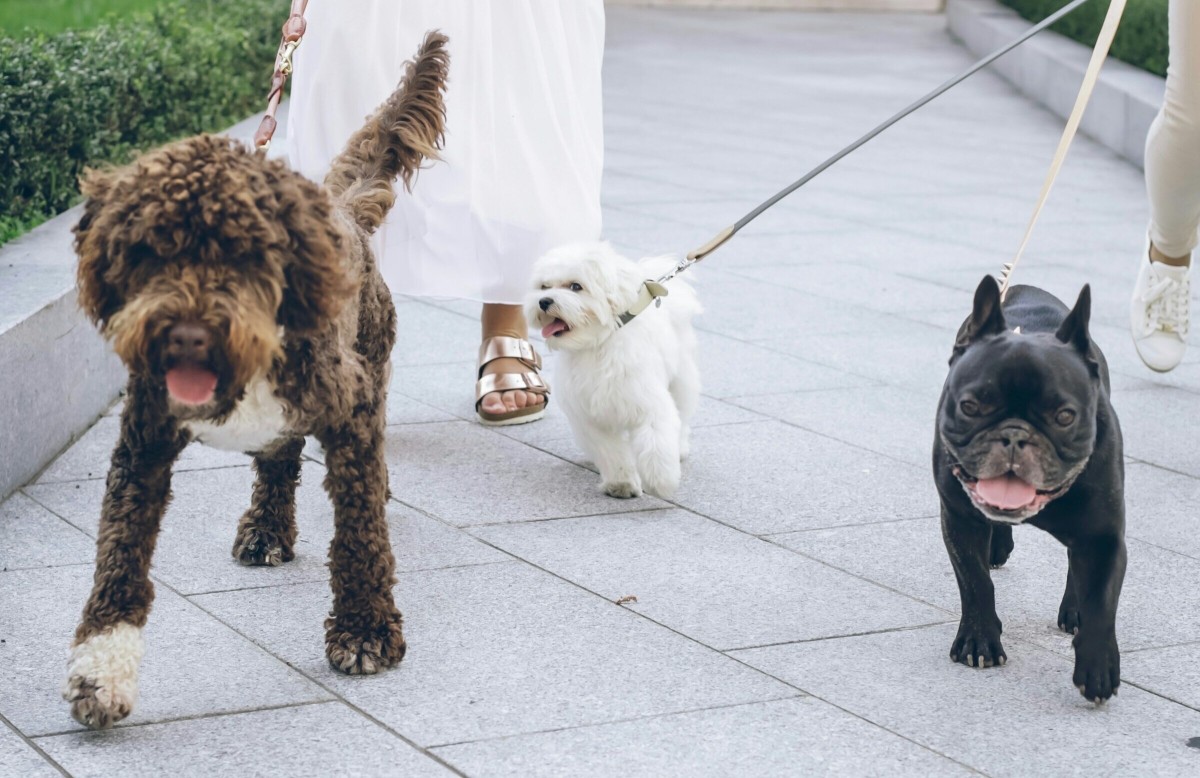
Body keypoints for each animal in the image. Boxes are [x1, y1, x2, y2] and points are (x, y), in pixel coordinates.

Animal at [59, 31, 451, 729]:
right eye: (148, 251)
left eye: (243, 253)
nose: (186, 335)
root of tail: (342, 208)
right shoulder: (142, 443)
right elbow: (119, 554)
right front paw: (100, 672)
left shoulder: (350, 412)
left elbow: (359, 532)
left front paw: (365, 630)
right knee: (278, 459)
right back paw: (266, 529)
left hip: (372, 359)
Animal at [525, 241, 700, 499]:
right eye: (543, 287)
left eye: (576, 286)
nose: (544, 301)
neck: (597, 344)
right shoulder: (590, 417)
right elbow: (611, 452)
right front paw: (622, 483)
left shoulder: (648, 402)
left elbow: (656, 442)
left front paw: (661, 481)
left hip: (682, 379)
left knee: (683, 413)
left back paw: (680, 448)